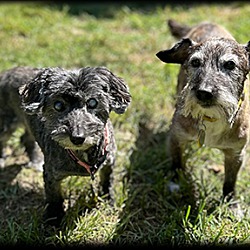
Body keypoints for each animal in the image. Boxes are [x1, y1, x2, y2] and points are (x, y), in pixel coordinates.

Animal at [0, 65, 131, 226]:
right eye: (58, 105)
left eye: (93, 102)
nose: (77, 137)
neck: (83, 152)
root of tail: (7, 72)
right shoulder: (51, 174)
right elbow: (54, 197)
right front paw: (54, 219)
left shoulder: (109, 161)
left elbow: (108, 181)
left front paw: (108, 200)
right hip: (6, 122)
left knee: (26, 138)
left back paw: (35, 160)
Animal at [156, 20, 250, 203]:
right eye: (195, 62)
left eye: (230, 64)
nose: (204, 92)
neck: (211, 117)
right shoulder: (176, 138)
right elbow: (177, 163)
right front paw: (175, 184)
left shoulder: (236, 154)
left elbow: (230, 181)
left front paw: (230, 202)